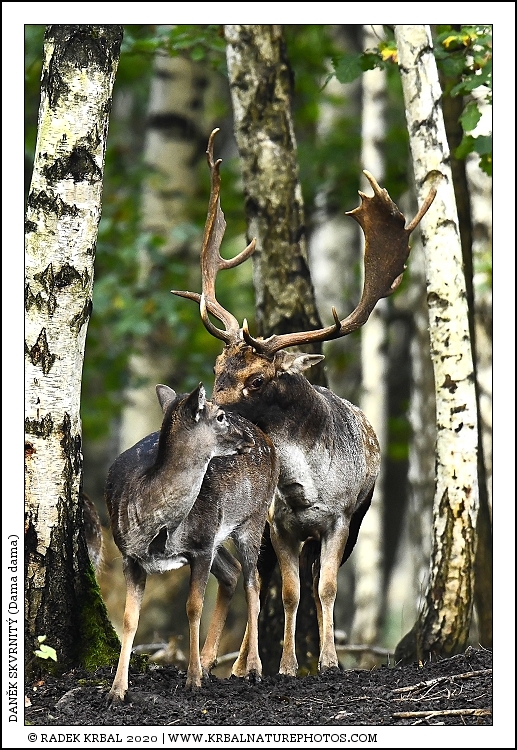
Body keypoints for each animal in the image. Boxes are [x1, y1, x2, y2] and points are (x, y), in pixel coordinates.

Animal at [105, 381, 279, 703]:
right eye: (220, 416)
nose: (246, 438)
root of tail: (268, 440)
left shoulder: (200, 547)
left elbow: (193, 607)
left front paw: (193, 679)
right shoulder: (130, 556)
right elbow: (129, 618)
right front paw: (116, 691)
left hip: (253, 517)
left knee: (253, 582)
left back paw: (252, 668)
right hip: (218, 535)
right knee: (232, 572)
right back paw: (210, 661)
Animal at [172, 128, 436, 676]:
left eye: (257, 380)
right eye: (217, 367)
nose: (204, 410)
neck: (304, 487)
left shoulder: (341, 519)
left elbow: (326, 588)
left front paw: (330, 661)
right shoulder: (280, 524)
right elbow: (290, 592)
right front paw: (288, 665)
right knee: (250, 579)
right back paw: (234, 663)